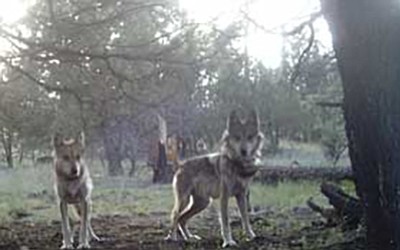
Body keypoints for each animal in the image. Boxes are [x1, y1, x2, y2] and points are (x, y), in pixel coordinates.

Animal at [164, 110, 264, 248]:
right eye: (237, 137)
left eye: (249, 137)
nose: (244, 151)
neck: (236, 164)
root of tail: (181, 164)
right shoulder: (224, 198)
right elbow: (225, 222)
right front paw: (228, 242)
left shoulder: (242, 196)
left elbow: (245, 218)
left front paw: (251, 236)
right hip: (184, 201)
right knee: (174, 215)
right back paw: (172, 238)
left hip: (203, 203)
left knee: (182, 219)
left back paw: (190, 238)